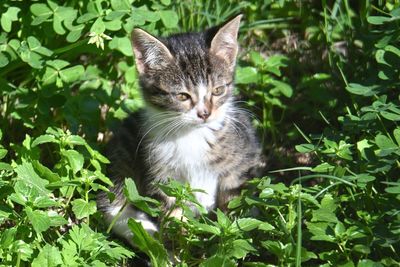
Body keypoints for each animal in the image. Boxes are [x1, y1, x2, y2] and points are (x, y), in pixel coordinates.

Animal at [97, 14, 262, 245]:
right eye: (183, 96)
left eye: (218, 90)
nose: (205, 113)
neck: (192, 135)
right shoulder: (161, 177)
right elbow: (173, 216)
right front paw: (178, 245)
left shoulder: (240, 165)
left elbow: (234, 207)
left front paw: (229, 240)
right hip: (123, 152)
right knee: (114, 205)